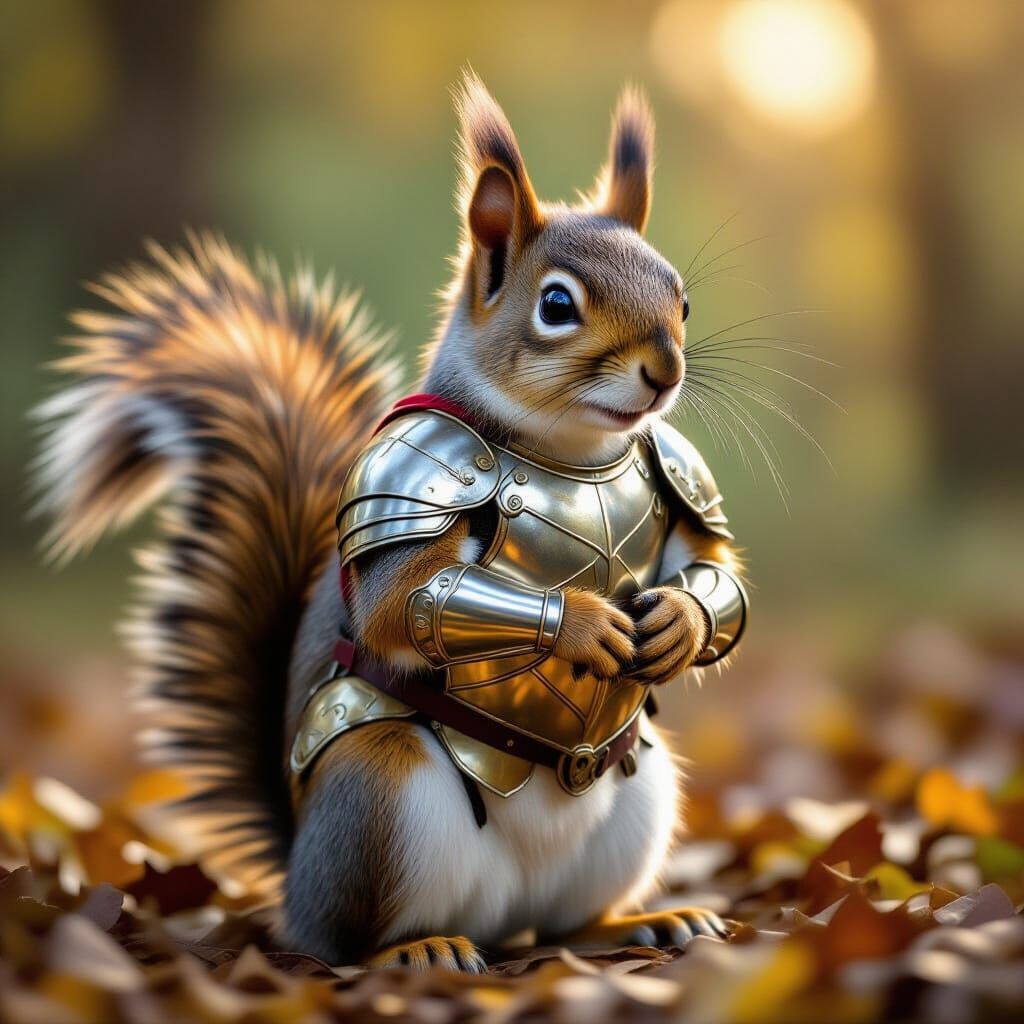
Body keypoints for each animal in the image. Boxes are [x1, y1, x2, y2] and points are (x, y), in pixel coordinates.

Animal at [35, 74, 748, 971]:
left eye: (681, 298)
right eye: (556, 304)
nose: (664, 371)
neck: (575, 453)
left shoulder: (678, 476)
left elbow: (714, 571)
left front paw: (680, 622)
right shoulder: (418, 477)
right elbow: (404, 603)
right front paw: (584, 623)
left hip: (637, 796)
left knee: (563, 924)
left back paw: (640, 922)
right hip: (379, 798)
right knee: (348, 940)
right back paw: (419, 950)